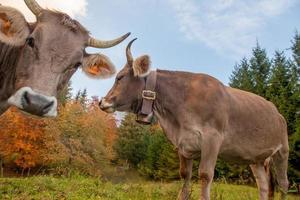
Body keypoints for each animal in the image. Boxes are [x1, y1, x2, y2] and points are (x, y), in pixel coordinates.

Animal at [100, 39, 288, 200]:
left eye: (119, 77)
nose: (102, 102)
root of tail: (276, 111)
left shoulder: (213, 138)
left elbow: (205, 175)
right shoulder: (183, 145)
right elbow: (185, 177)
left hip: (282, 151)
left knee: (284, 184)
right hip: (257, 159)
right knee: (263, 185)